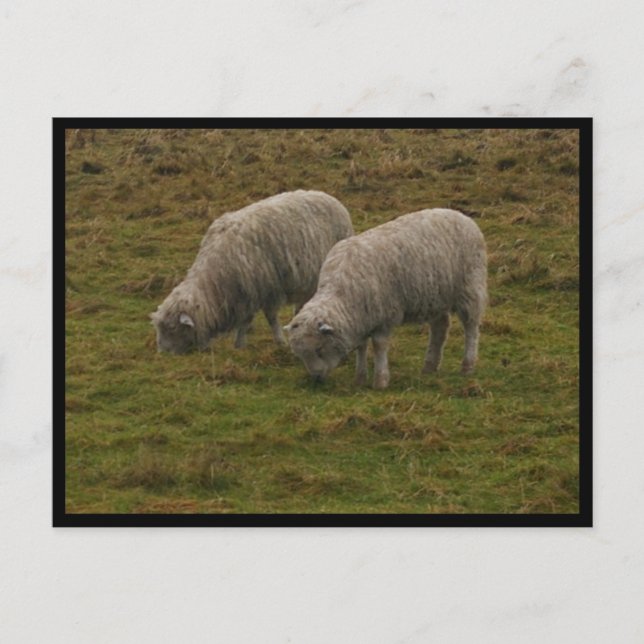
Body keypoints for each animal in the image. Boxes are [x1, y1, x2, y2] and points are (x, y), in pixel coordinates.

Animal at [151, 190, 353, 354]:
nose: (162, 353)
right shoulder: (244, 295)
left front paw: (276, 341)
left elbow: (264, 319)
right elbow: (245, 320)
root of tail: (329, 197)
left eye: (172, 328)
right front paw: (240, 343)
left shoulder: (265, 290)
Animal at [284, 208, 487, 388]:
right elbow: (361, 347)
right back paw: (430, 366)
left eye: (318, 349)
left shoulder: (385, 315)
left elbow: (379, 345)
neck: (342, 293)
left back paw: (467, 365)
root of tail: (462, 216)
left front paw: (380, 380)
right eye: (300, 354)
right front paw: (360, 378)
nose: (316, 379)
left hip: (470, 287)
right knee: (440, 327)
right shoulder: (361, 318)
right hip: (436, 297)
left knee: (471, 327)